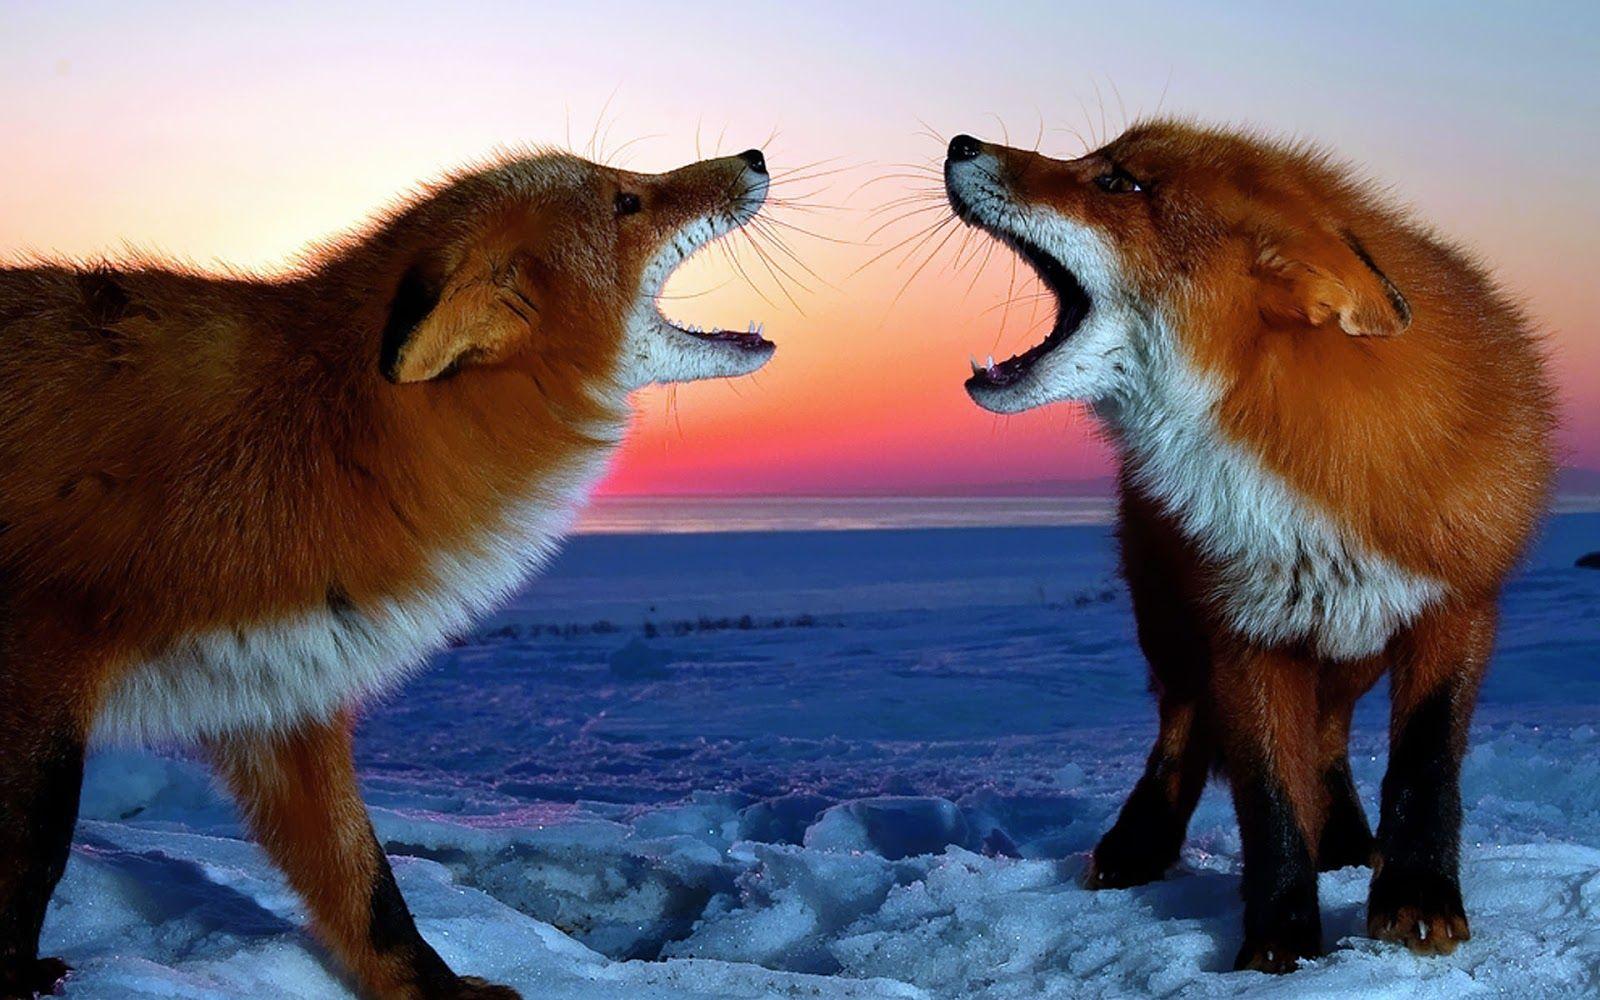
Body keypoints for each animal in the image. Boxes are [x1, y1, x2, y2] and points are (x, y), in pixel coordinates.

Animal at [0, 145, 776, 998]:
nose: (755, 157)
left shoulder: (278, 689)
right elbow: (31, 853)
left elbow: (366, 887)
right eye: (626, 201)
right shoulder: (42, 652)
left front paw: (439, 990)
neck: (320, 445)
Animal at [942, 121, 1554, 972]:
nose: (960, 142)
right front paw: (1280, 943)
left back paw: (1346, 840)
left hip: (1351, 644)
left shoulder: (1457, 606)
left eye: (1120, 182)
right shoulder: (1243, 626)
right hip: (1171, 625)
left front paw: (1418, 899)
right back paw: (1139, 844)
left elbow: (1424, 767)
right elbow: (1268, 798)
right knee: (1182, 728)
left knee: (1327, 737)